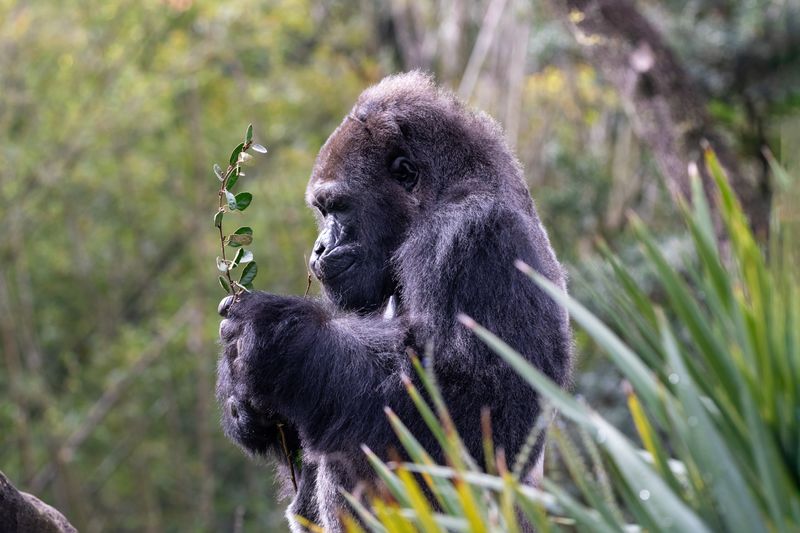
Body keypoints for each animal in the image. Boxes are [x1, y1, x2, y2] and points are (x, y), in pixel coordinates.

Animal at [216, 71, 572, 532]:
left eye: (337, 207)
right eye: (322, 211)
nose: (318, 248)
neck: (441, 191)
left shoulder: (474, 236)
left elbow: (471, 414)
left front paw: (281, 343)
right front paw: (245, 408)